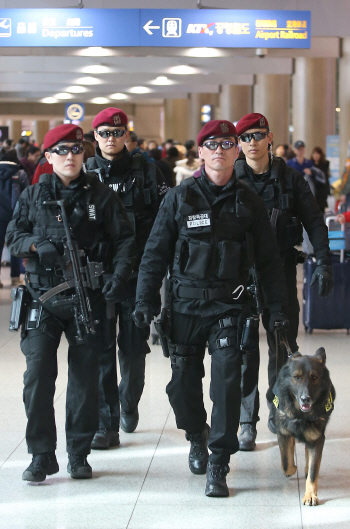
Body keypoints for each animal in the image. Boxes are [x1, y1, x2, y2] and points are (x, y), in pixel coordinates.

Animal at [272, 346, 334, 504]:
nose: (306, 399)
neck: (300, 415)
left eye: (314, 377)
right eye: (297, 377)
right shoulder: (283, 433)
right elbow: (286, 462)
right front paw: (293, 468)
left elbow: (313, 470)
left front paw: (310, 494)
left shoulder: (317, 439)